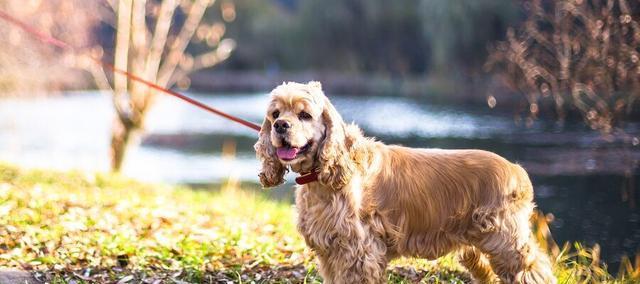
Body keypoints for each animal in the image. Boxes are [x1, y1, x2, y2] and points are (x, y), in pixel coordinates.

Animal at [255, 81, 556, 282]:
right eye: (275, 114)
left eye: (304, 115)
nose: (281, 126)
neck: (323, 178)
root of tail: (517, 170)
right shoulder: (330, 252)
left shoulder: (359, 252)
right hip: (477, 247)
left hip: (506, 241)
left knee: (534, 268)